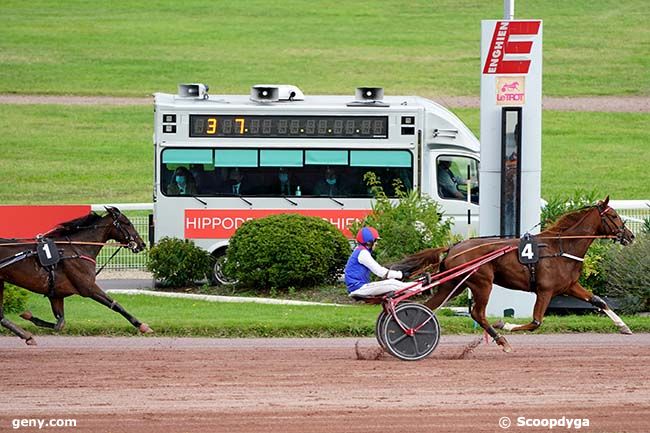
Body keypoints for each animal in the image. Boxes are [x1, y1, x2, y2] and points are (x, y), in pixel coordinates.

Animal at [0, 206, 151, 344]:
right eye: (127, 223)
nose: (142, 244)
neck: (78, 248)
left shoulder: (56, 294)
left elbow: (60, 324)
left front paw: (28, 316)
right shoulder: (88, 288)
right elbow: (115, 304)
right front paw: (142, 325)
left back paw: (27, 336)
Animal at [390, 196, 632, 352]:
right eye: (613, 215)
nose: (630, 236)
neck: (561, 248)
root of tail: (453, 247)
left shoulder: (569, 286)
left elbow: (599, 301)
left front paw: (624, 327)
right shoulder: (545, 290)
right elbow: (535, 322)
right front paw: (504, 325)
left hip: (454, 284)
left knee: (428, 308)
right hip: (482, 283)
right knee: (477, 313)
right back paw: (501, 340)